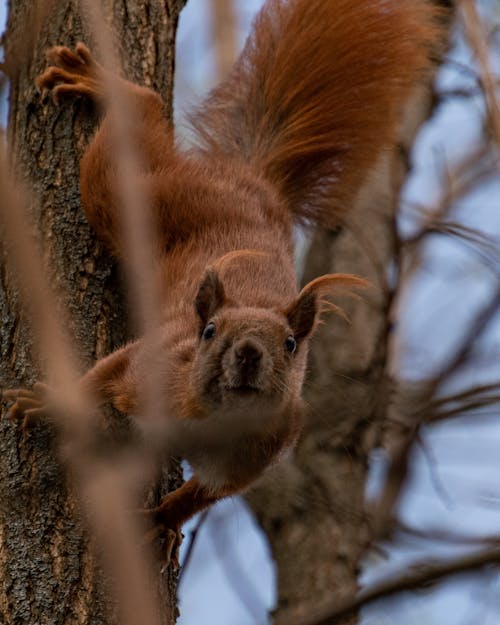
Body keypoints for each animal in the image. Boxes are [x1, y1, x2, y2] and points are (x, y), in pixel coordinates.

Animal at [4, 0, 442, 560]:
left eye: (292, 343)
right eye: (209, 331)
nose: (249, 353)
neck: (211, 418)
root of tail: (252, 178)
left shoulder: (256, 454)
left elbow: (203, 494)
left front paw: (163, 520)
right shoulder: (152, 364)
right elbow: (103, 373)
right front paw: (54, 403)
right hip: (133, 198)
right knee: (132, 134)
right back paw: (106, 85)